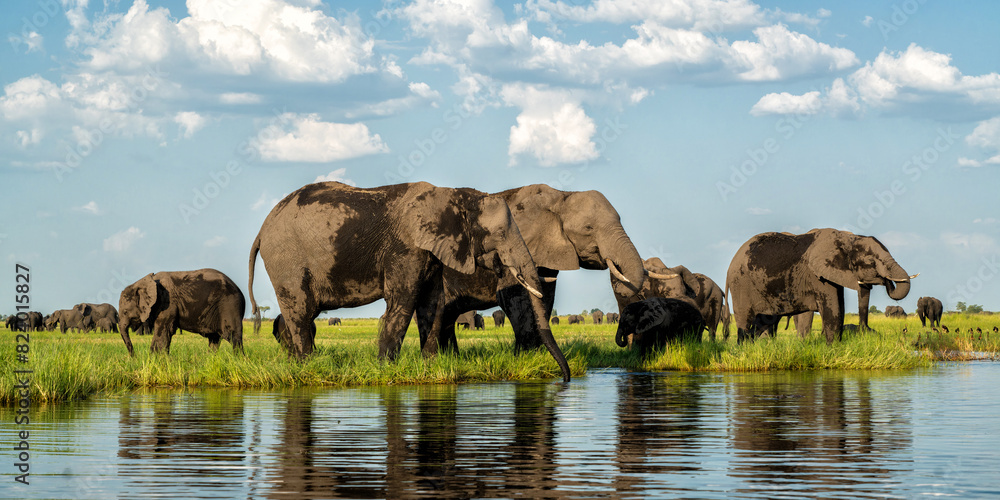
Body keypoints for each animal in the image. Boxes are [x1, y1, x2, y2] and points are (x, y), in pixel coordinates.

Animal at [248, 181, 571, 382]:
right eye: (501, 234)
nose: (565, 380)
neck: (455, 196)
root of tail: (261, 230)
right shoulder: (406, 248)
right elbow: (403, 300)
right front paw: (385, 370)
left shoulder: (433, 250)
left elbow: (432, 304)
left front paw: (430, 368)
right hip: (287, 261)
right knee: (301, 313)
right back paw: (308, 367)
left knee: (301, 314)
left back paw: (296, 366)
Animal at [414, 184, 645, 361]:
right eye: (588, 228)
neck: (560, 196)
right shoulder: (512, 250)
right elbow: (515, 298)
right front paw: (524, 359)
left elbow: (545, 298)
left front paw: (536, 356)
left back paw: (451, 359)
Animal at [727, 228, 916, 344]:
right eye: (870, 261)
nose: (886, 281)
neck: (848, 238)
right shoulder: (817, 275)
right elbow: (833, 309)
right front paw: (832, 348)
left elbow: (840, 307)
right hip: (741, 284)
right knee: (745, 320)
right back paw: (743, 349)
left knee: (764, 320)